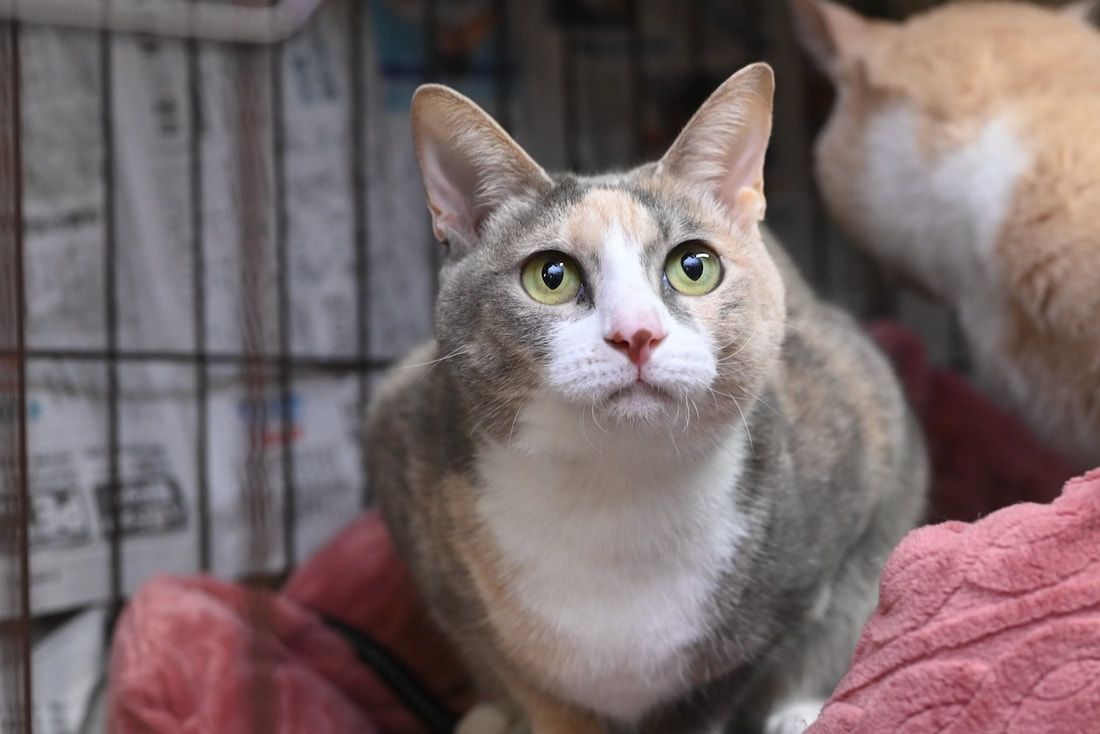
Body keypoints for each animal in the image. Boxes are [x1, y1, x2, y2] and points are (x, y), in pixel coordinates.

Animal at [369, 64, 928, 734]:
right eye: (549, 276)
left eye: (695, 266)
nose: (636, 334)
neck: (614, 493)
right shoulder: (409, 448)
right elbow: (529, 684)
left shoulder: (859, 422)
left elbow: (746, 665)